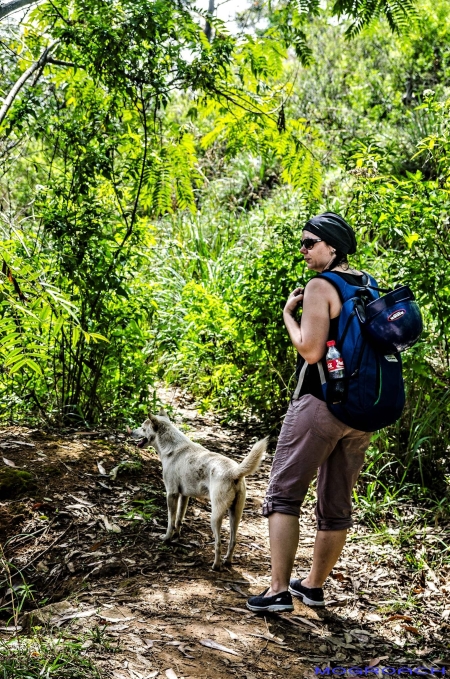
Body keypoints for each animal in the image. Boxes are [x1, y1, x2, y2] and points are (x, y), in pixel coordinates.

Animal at [132, 412, 268, 572]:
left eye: (142, 428)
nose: (130, 432)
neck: (172, 448)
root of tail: (234, 472)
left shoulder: (171, 494)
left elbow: (171, 521)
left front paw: (167, 538)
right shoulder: (184, 496)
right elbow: (179, 519)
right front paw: (177, 535)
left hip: (215, 517)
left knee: (218, 543)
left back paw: (216, 565)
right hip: (235, 514)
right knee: (233, 541)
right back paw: (227, 561)